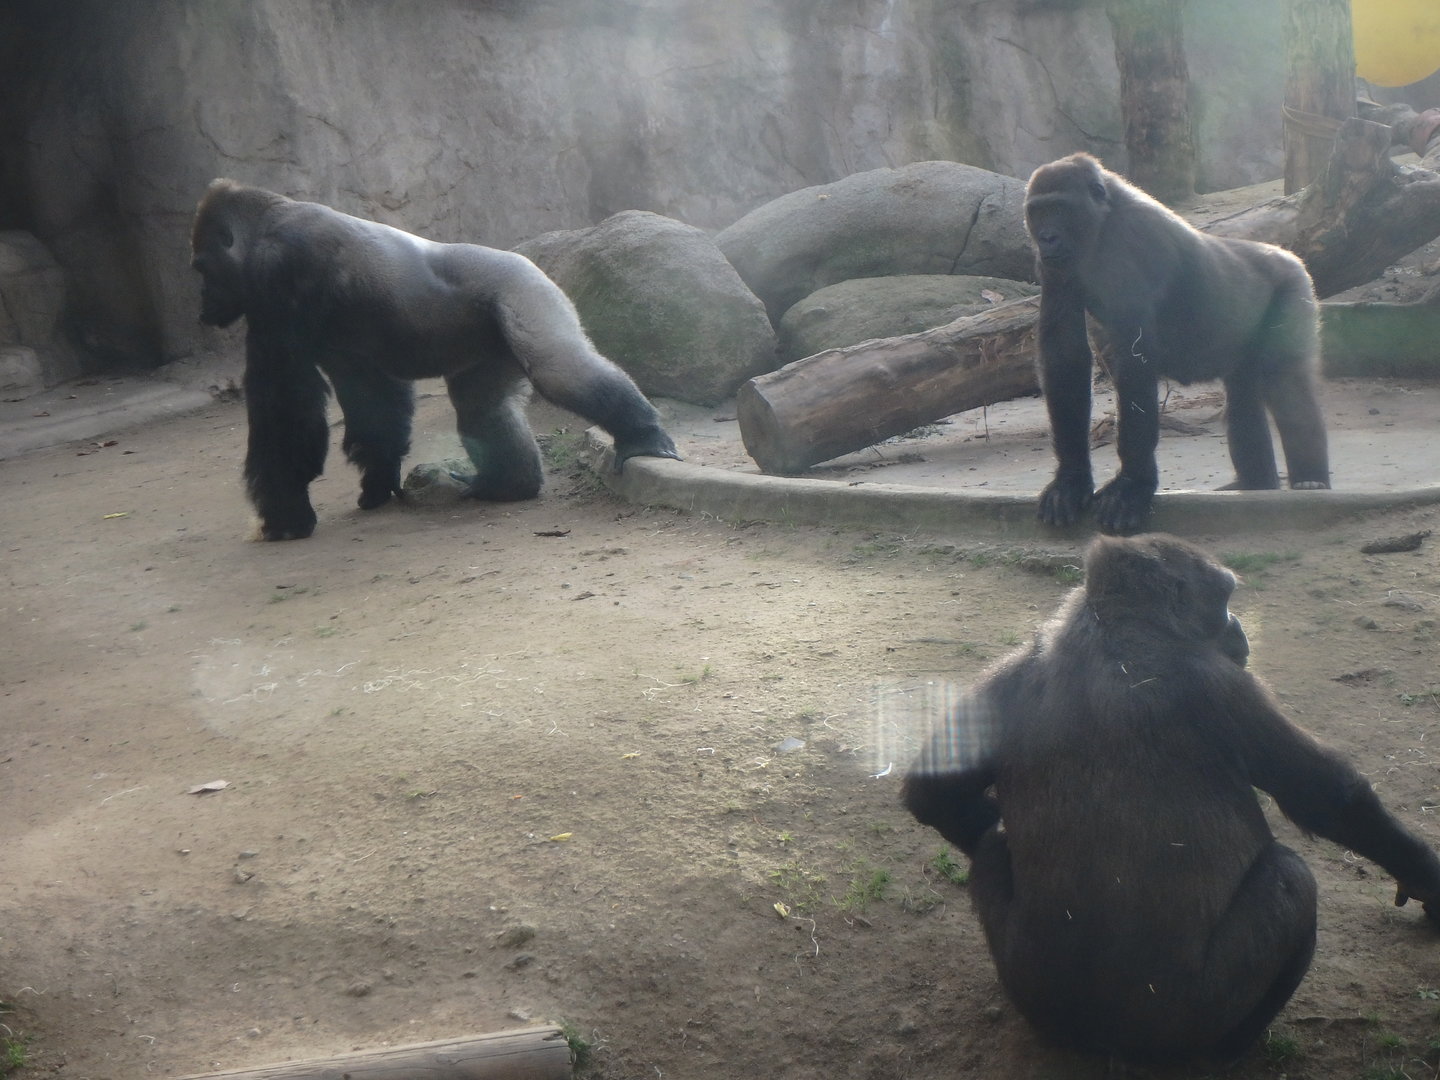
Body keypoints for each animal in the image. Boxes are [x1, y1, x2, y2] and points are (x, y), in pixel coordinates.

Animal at [190, 179, 679, 540]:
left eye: (201, 268)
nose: (202, 308)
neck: (268, 221)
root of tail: (533, 262)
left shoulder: (277, 276)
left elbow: (286, 407)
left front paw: (285, 514)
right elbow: (372, 400)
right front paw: (376, 481)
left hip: (527, 292)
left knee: (559, 369)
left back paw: (641, 433)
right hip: (493, 340)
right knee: (482, 408)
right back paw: (506, 485)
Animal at [902, 534, 1439, 1061]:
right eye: (1224, 600)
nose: (1239, 628)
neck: (1112, 624)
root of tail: (1102, 1045)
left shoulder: (1014, 666)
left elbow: (936, 793)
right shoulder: (1218, 679)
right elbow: (1331, 799)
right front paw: (1427, 876)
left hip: (1031, 991)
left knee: (991, 844)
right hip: (1184, 1021)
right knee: (1292, 878)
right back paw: (1232, 1048)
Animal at [1025, 153, 1330, 534]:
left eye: (1059, 209)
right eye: (1038, 212)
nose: (1047, 238)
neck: (1102, 219)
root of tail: (1287, 254)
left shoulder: (1134, 238)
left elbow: (1135, 361)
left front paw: (1133, 486)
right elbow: (1065, 355)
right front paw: (1072, 479)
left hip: (1294, 283)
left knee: (1285, 382)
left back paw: (1311, 483)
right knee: (1245, 394)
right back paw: (1257, 484)